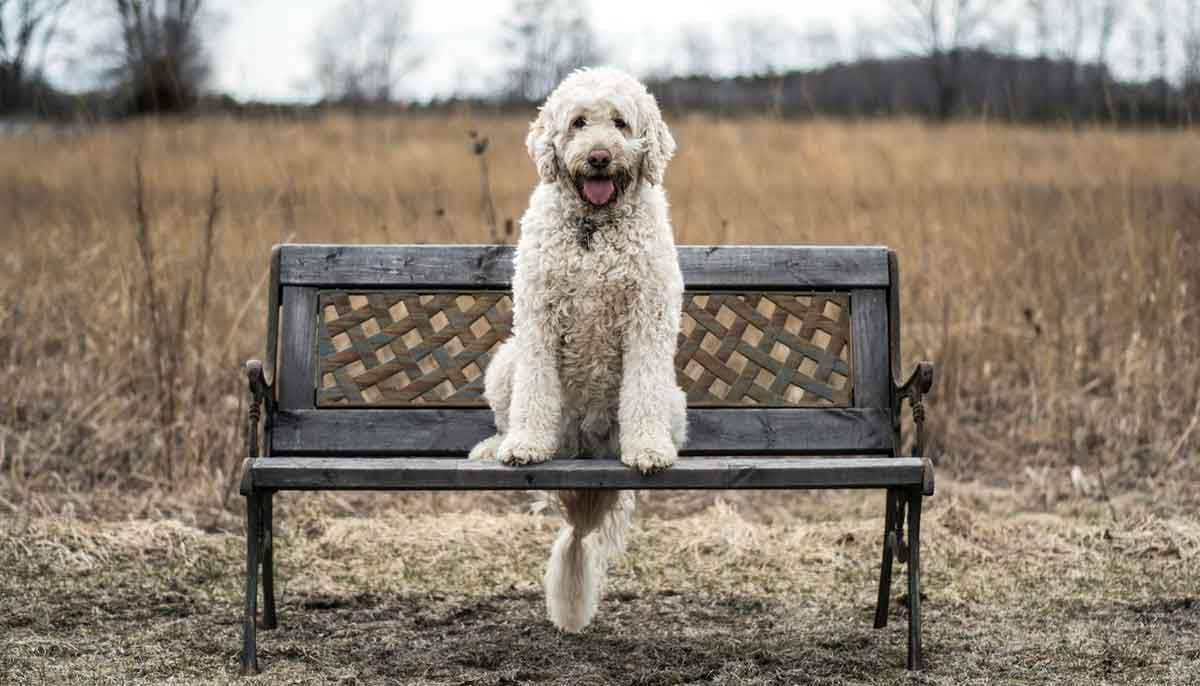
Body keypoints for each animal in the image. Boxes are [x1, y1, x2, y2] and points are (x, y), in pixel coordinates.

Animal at [472, 68, 691, 633]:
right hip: (505, 361)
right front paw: (526, 445)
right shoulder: (537, 319)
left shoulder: (648, 319)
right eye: (577, 122)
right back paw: (497, 446)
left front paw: (647, 451)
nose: (598, 157)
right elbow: (533, 396)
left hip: (672, 396)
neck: (595, 229)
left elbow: (640, 393)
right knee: (508, 412)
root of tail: (585, 450)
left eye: (620, 123)